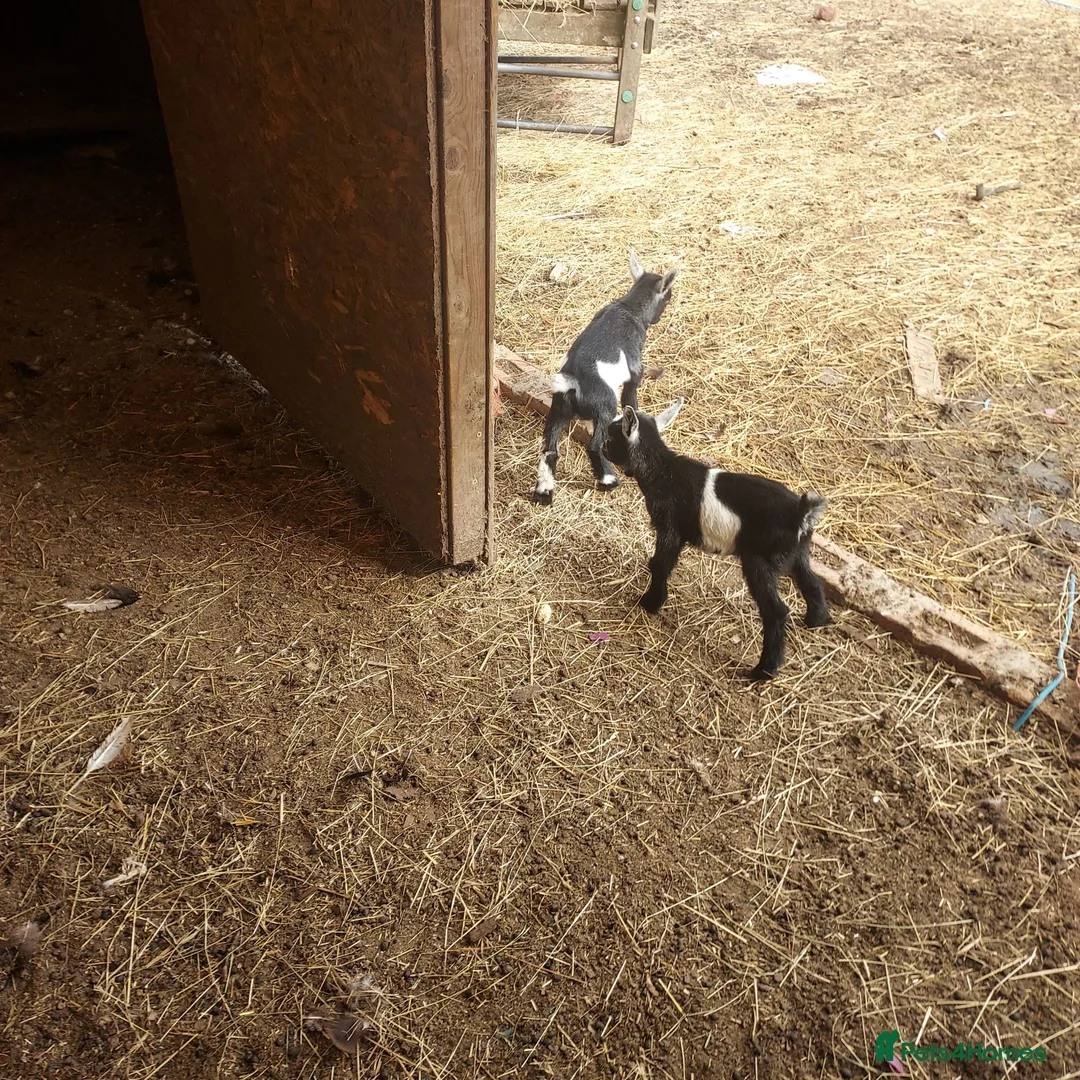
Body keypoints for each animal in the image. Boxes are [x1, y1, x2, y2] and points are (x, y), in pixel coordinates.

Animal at [532, 250, 677, 505]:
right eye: (666, 299)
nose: (658, 319)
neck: (629, 308)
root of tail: (572, 382)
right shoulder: (634, 368)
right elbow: (631, 397)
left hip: (559, 409)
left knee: (550, 447)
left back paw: (544, 491)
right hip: (605, 407)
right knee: (594, 445)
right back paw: (609, 480)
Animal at [604, 401, 832, 680]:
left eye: (611, 437)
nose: (602, 447)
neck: (663, 470)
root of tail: (801, 515)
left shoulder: (669, 526)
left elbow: (659, 564)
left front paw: (650, 603)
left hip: (760, 560)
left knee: (776, 612)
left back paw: (763, 671)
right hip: (798, 553)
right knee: (812, 583)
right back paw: (816, 621)